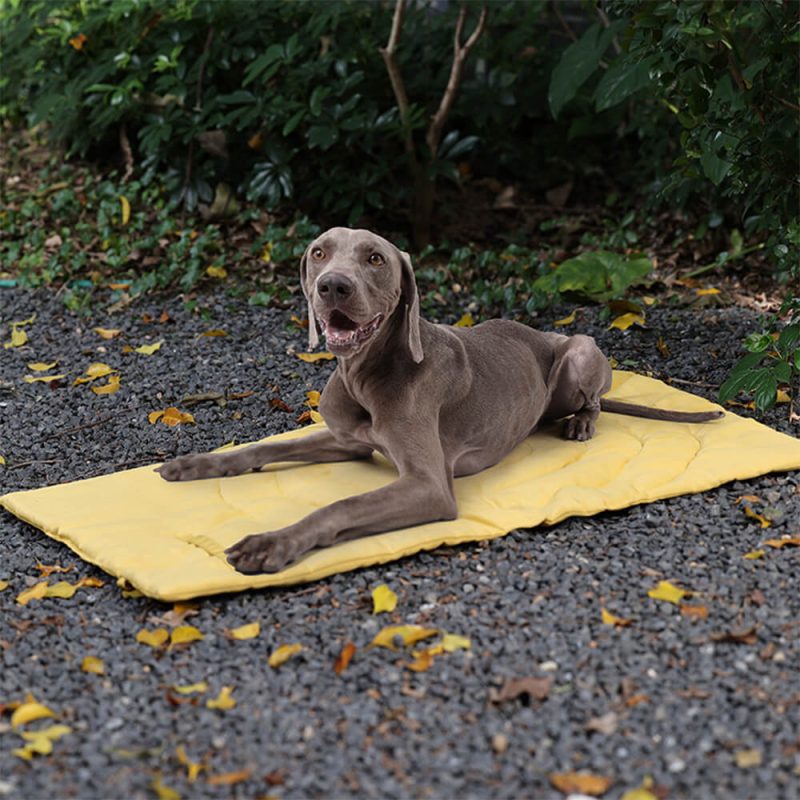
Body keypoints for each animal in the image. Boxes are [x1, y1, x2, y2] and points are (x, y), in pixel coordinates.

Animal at [158, 228, 724, 572]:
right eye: (319, 252)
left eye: (375, 258)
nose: (332, 286)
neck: (368, 373)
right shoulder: (349, 442)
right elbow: (261, 449)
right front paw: (194, 464)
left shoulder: (429, 486)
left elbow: (340, 505)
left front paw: (273, 542)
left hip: (580, 351)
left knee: (597, 401)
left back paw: (580, 423)